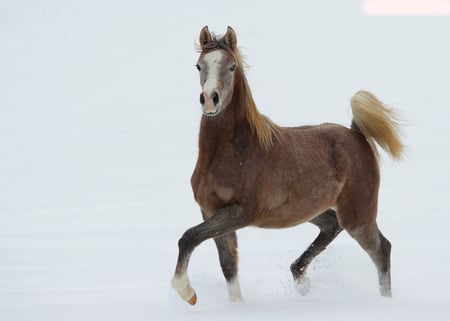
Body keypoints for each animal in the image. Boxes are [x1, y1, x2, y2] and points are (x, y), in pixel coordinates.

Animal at [171, 26, 404, 304]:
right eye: (199, 65)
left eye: (231, 66)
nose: (210, 100)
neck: (231, 153)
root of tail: (356, 134)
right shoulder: (210, 211)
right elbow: (227, 264)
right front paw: (235, 305)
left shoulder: (242, 212)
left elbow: (189, 237)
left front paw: (187, 292)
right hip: (312, 210)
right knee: (332, 227)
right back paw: (300, 277)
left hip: (358, 216)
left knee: (381, 250)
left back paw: (384, 301)